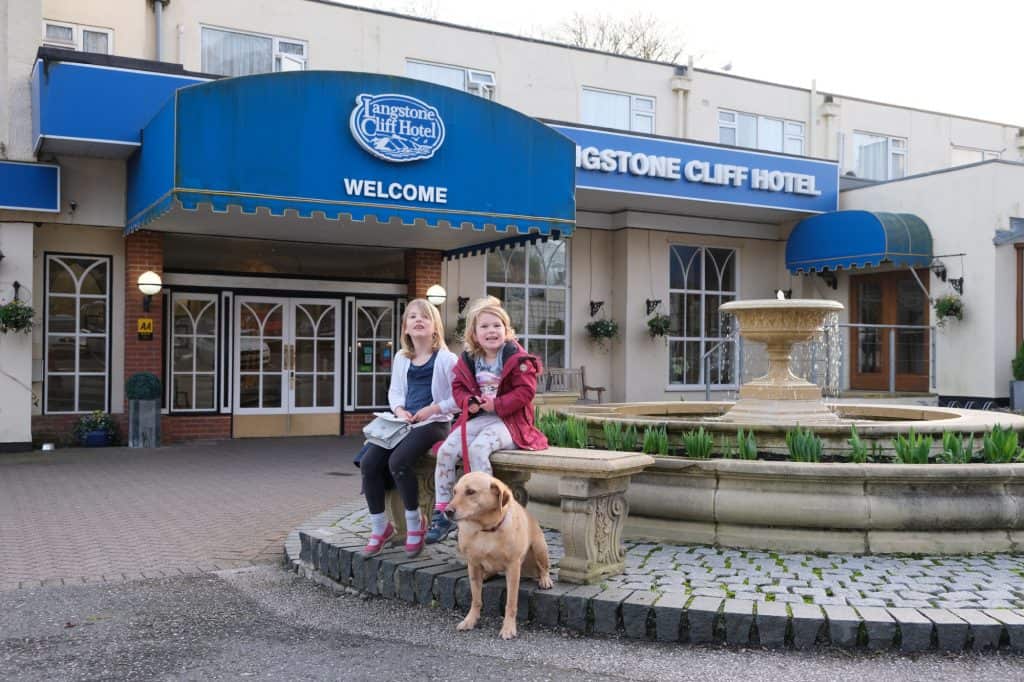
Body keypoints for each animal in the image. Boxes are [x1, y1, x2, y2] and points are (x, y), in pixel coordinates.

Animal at [442, 466, 548, 638]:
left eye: (470, 491)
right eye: (454, 491)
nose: (447, 511)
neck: (486, 529)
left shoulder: (513, 567)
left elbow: (510, 603)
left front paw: (508, 628)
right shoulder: (473, 564)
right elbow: (476, 599)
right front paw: (470, 620)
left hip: (540, 548)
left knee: (543, 568)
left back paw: (545, 579)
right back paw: (485, 576)